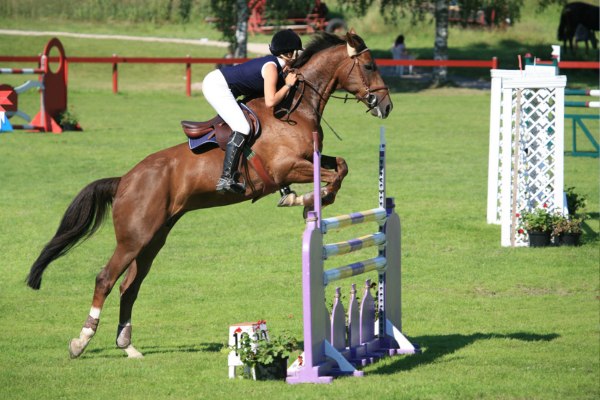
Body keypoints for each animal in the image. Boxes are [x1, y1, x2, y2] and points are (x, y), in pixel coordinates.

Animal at [25, 29, 394, 358]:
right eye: (370, 65)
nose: (386, 106)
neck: (294, 108)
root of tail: (126, 180)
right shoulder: (286, 167)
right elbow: (333, 175)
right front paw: (310, 201)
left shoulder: (308, 160)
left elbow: (341, 165)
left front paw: (304, 199)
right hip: (133, 237)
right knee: (105, 279)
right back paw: (81, 341)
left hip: (153, 239)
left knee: (130, 286)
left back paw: (127, 346)